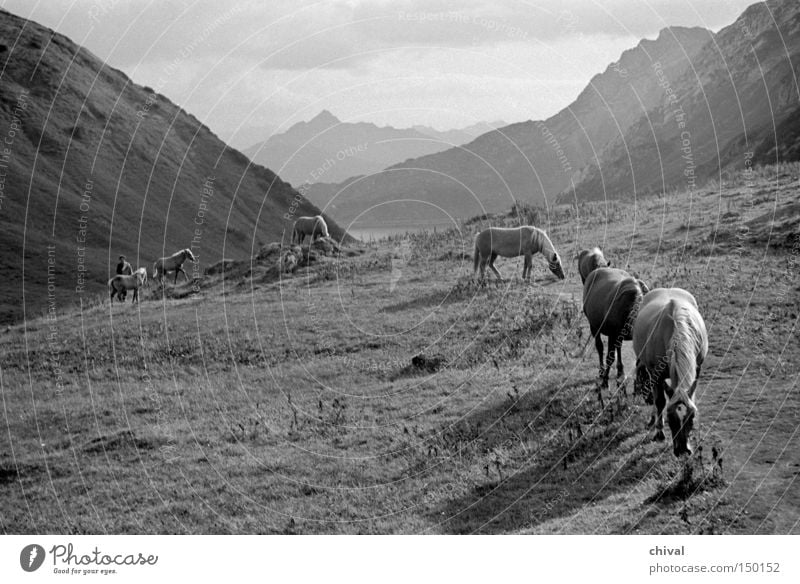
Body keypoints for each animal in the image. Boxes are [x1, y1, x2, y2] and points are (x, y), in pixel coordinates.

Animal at [580, 266, 648, 404]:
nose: (649, 399)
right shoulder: (612, 335)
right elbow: (609, 358)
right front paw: (605, 381)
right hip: (594, 327)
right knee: (600, 348)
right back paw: (602, 373)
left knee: (618, 350)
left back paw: (620, 373)